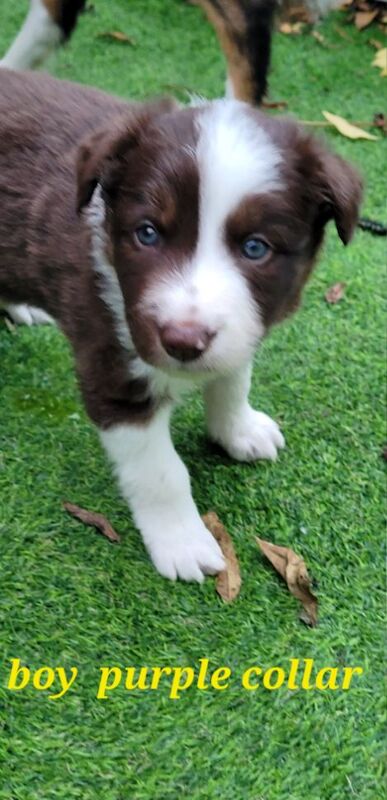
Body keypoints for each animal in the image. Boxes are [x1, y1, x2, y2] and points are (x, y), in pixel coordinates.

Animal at [0, 67, 364, 580]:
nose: (182, 342)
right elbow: (161, 472)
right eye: (147, 233)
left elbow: (233, 378)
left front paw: (238, 431)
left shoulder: (240, 329)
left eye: (256, 247)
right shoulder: (113, 369)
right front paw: (183, 542)